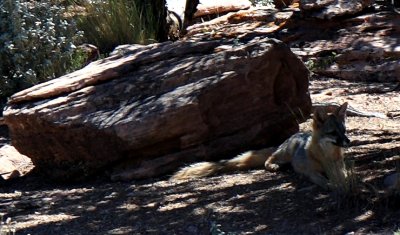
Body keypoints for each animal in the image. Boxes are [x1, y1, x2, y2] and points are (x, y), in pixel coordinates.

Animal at [170, 102, 352, 189]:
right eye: (333, 133)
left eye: (343, 131)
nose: (348, 141)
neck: (327, 158)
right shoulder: (311, 172)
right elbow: (322, 180)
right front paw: (331, 185)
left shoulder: (339, 167)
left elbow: (344, 176)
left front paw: (344, 182)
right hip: (284, 154)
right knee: (268, 159)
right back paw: (274, 166)